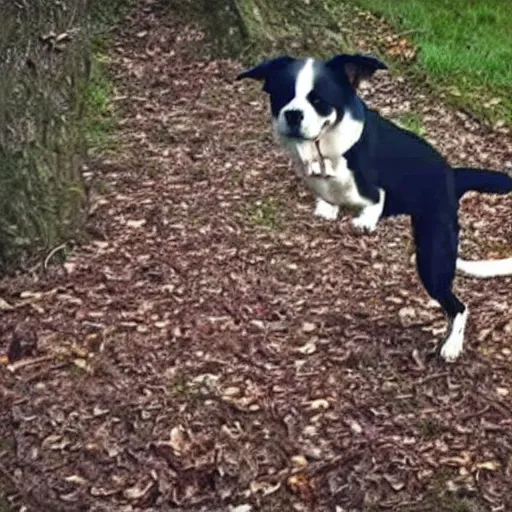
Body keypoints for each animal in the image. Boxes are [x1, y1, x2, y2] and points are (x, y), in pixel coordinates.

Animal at [238, 53, 512, 360]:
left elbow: (371, 193)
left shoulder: (366, 176)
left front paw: (365, 217)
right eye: (282, 94)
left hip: (432, 253)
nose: (293, 114)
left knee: (459, 307)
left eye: (318, 100)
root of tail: (452, 175)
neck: (323, 146)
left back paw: (452, 345)